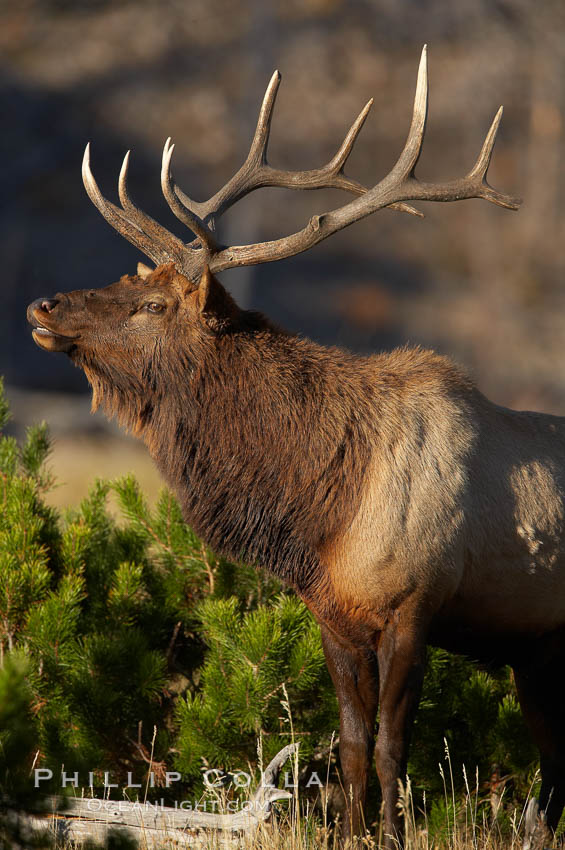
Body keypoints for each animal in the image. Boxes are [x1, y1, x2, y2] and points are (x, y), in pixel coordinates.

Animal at [26, 48, 560, 848]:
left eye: (152, 303)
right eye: (128, 276)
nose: (43, 303)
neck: (325, 512)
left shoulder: (416, 604)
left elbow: (392, 742)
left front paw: (392, 835)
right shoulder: (333, 613)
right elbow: (348, 741)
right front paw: (350, 833)